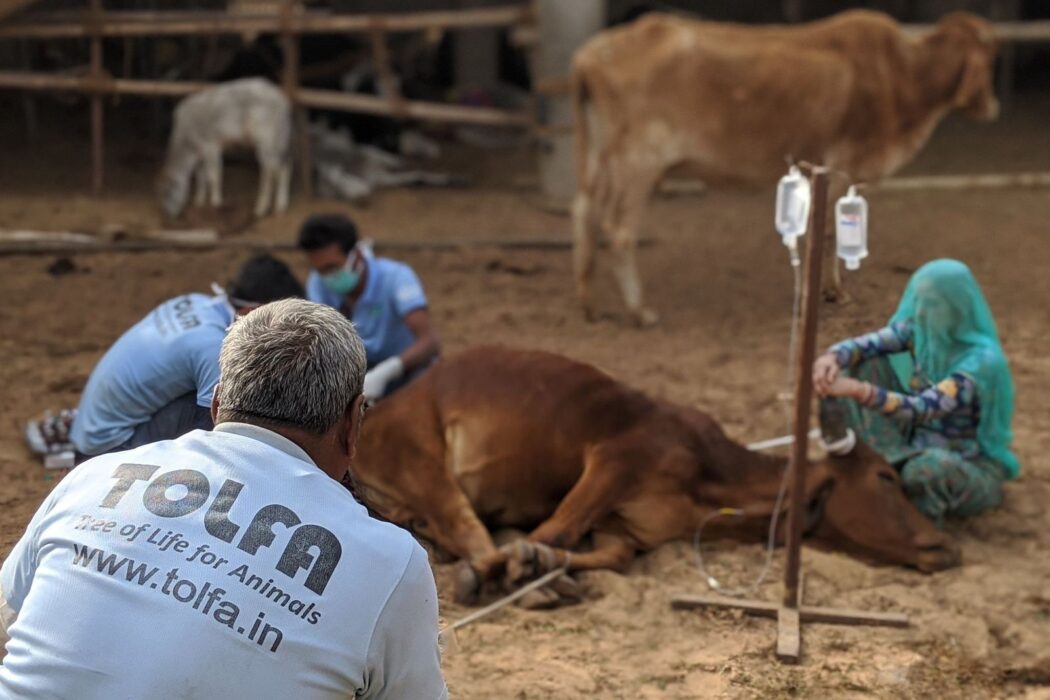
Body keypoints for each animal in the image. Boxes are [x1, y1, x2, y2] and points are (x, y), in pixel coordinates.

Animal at [350, 348, 961, 604]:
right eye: (885, 477)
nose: (944, 545)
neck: (714, 481)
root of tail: (380, 409)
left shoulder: (625, 527)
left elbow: (607, 554)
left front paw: (547, 566)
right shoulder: (613, 462)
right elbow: (554, 531)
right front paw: (528, 567)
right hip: (422, 459)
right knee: (466, 528)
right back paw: (507, 580)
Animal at [571, 10, 995, 327]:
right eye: (988, 57)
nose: (992, 107)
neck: (906, 77)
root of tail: (591, 54)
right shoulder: (843, 165)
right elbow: (830, 232)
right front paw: (831, 292)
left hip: (603, 157)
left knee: (584, 212)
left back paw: (590, 303)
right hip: (639, 161)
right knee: (617, 229)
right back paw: (639, 311)